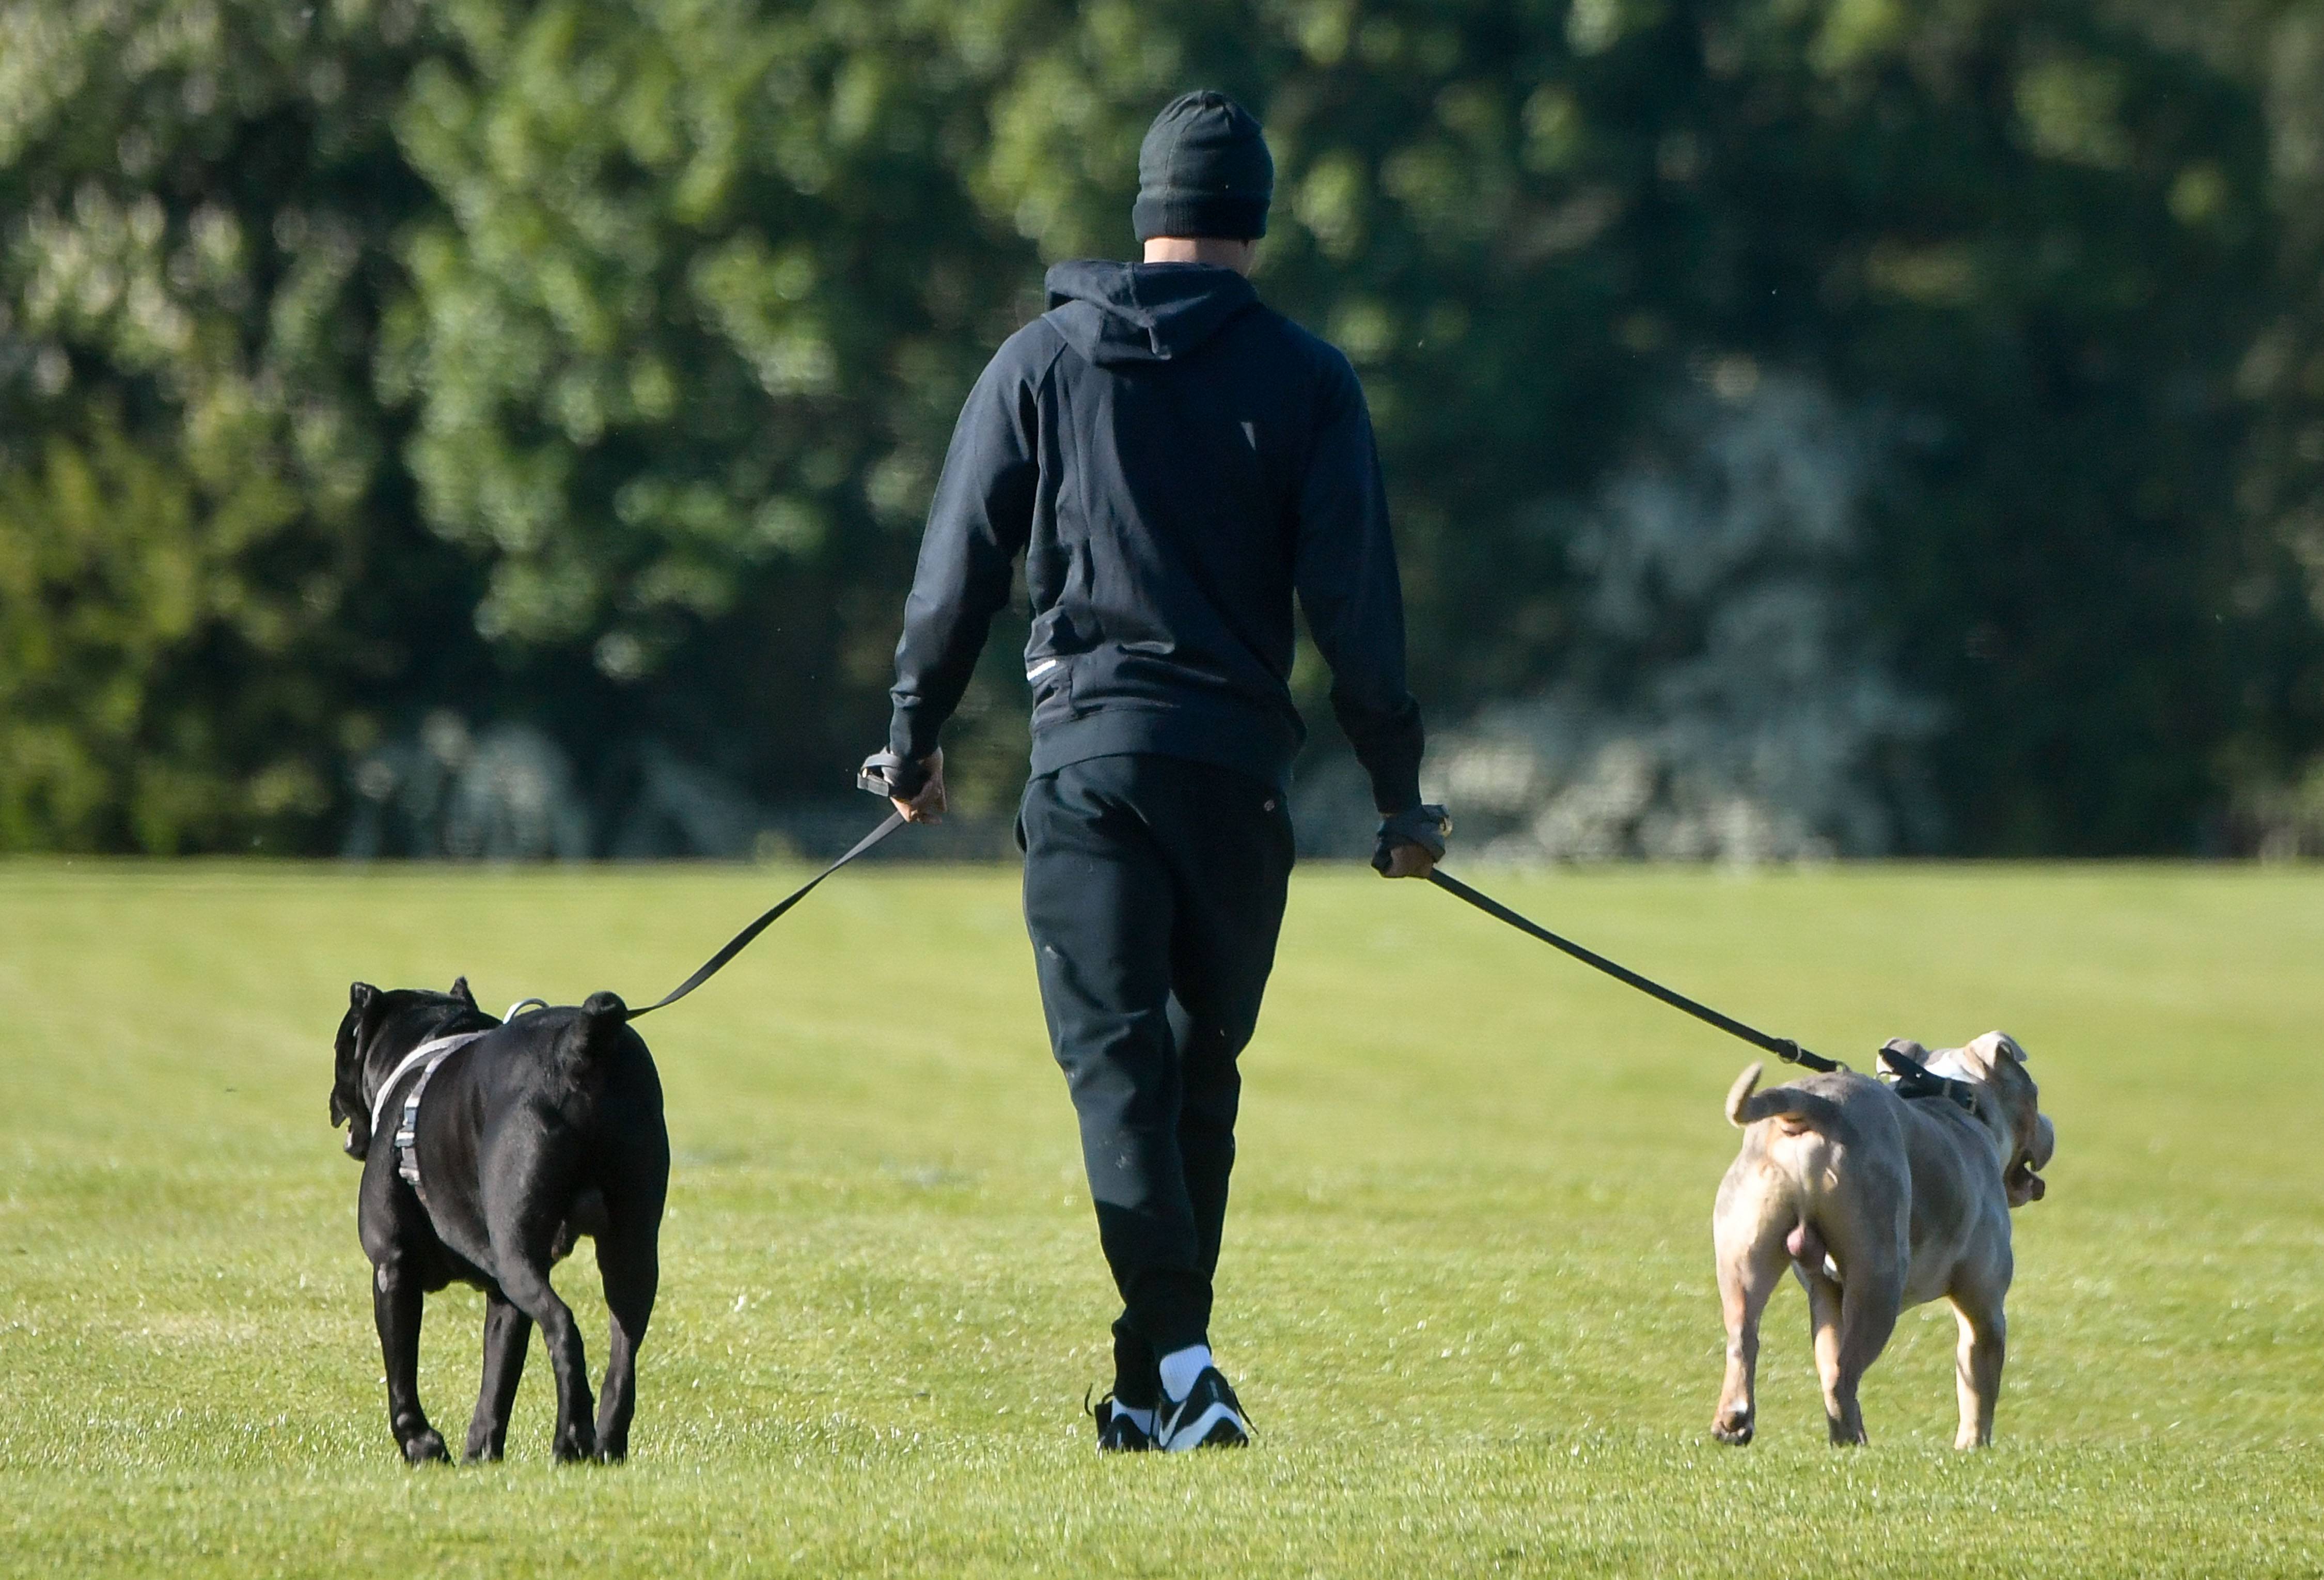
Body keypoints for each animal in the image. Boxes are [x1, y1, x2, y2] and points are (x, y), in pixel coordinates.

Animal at [323, 980, 665, 1459]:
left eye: (340, 1045)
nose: (331, 1101)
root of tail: (582, 1042)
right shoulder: (503, 1299)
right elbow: (498, 1380)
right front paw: (480, 1454)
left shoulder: (392, 1268)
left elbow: (402, 1374)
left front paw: (421, 1444)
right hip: (629, 1253)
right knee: (623, 1356)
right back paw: (605, 1446)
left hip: (517, 1254)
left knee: (564, 1326)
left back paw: (571, 1437)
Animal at [1710, 1031, 2054, 1450]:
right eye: (2034, 1092)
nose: (2049, 1126)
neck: (1956, 1096)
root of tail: (1816, 1105)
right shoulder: (1984, 1310)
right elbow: (1978, 1392)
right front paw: (1972, 1448)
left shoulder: (1827, 1295)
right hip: (1879, 1278)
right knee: (1843, 1377)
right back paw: (1852, 1443)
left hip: (1745, 1258)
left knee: (1750, 1343)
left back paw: (1738, 1421)